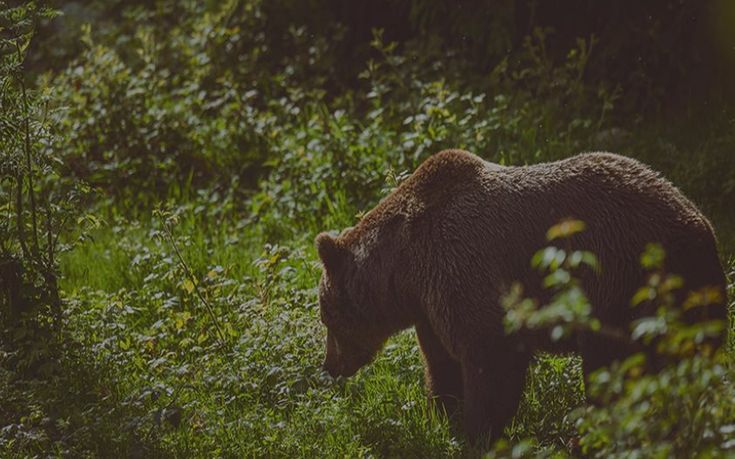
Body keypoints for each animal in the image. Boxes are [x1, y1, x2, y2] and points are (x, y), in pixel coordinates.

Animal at [316, 150, 732, 442]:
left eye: (326, 317)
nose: (330, 365)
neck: (404, 270)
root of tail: (703, 224)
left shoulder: (465, 270)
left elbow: (491, 361)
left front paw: (479, 432)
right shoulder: (430, 308)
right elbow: (441, 364)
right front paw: (442, 417)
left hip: (630, 283)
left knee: (616, 366)